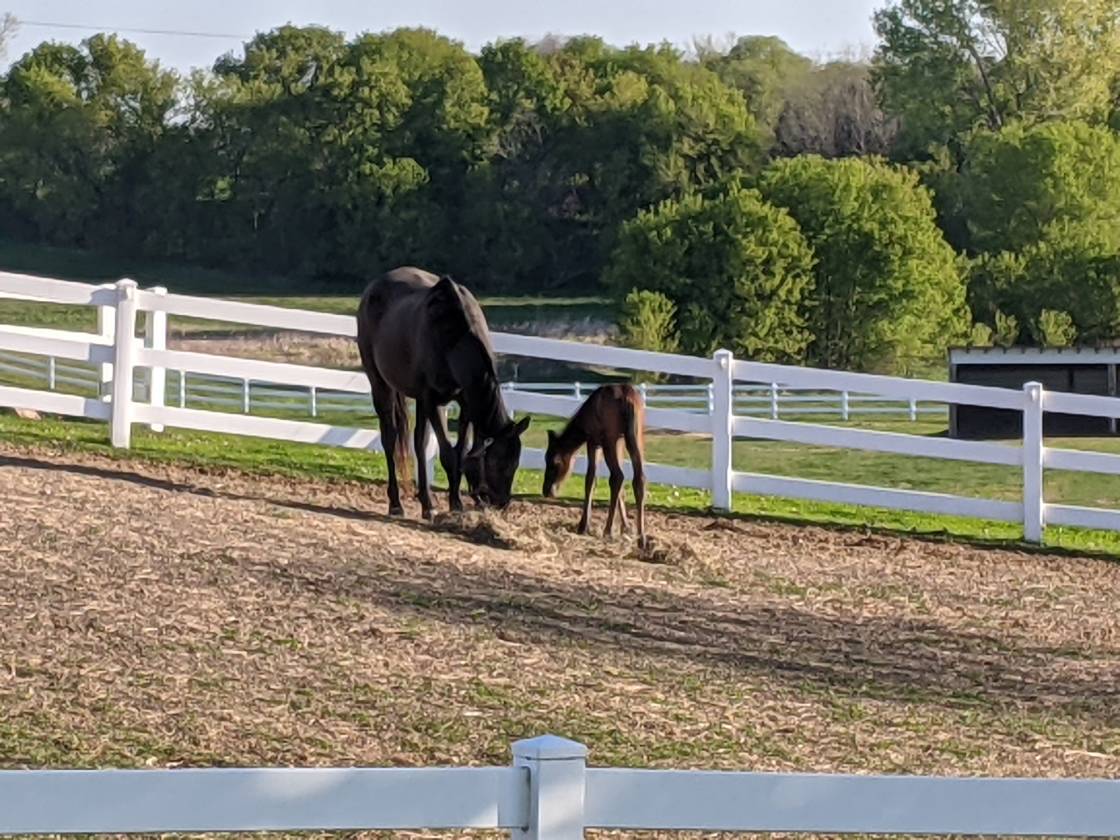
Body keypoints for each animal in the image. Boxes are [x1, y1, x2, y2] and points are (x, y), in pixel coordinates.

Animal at [356, 266, 530, 519]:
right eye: (498, 462)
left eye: (515, 462)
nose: (502, 503)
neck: (454, 337)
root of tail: (373, 288)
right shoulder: (434, 401)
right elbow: (448, 454)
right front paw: (455, 504)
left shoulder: (464, 403)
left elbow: (461, 452)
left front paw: (453, 501)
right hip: (381, 384)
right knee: (390, 438)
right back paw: (396, 504)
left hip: (417, 399)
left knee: (419, 443)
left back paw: (425, 501)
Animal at [542, 383, 646, 544]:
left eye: (555, 462)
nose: (546, 490)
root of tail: (627, 397)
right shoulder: (619, 441)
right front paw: (626, 526)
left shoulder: (593, 442)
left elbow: (590, 479)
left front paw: (583, 525)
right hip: (635, 436)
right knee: (638, 478)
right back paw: (642, 537)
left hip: (609, 441)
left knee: (617, 477)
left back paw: (608, 530)